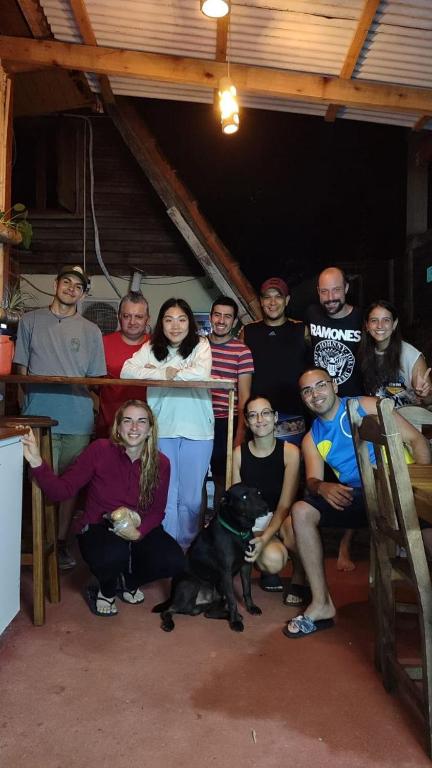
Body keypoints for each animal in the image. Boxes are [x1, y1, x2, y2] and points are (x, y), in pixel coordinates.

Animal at [153, 483, 268, 632]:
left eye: (258, 493)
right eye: (244, 497)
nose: (266, 507)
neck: (239, 532)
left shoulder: (246, 565)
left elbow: (247, 590)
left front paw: (251, 607)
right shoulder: (226, 572)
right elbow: (233, 600)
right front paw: (235, 622)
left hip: (217, 595)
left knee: (207, 613)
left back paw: (229, 614)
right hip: (191, 584)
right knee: (168, 610)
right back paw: (168, 623)